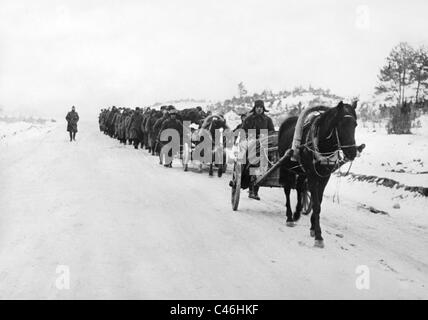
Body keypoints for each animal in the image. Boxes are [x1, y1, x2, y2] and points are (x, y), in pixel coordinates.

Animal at [278, 100, 364, 248]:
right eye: (341, 124)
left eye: (355, 124)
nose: (352, 153)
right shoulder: (312, 176)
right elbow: (316, 204)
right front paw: (318, 235)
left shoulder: (325, 177)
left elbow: (318, 201)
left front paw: (313, 228)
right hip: (285, 167)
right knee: (287, 190)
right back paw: (289, 217)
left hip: (301, 172)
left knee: (300, 189)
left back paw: (297, 213)